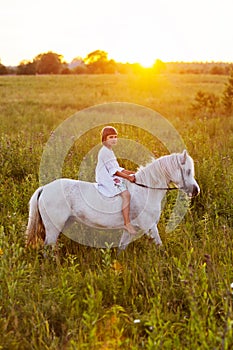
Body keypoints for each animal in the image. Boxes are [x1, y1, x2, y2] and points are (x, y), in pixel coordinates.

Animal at [26, 149, 200, 250]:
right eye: (188, 171)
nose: (196, 191)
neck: (146, 190)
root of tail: (44, 188)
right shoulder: (150, 226)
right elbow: (160, 245)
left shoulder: (130, 230)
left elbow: (122, 248)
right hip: (53, 226)